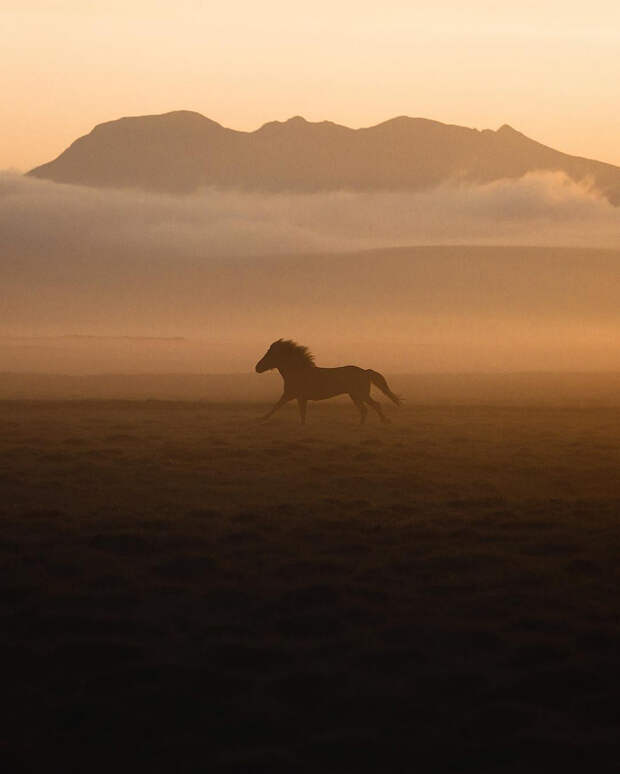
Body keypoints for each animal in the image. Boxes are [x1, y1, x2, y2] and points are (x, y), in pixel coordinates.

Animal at [253, 338, 402, 424]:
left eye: (270, 354)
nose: (257, 368)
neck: (298, 372)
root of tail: (365, 371)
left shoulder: (291, 395)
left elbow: (277, 406)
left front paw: (261, 418)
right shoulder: (300, 397)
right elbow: (301, 413)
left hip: (361, 394)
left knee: (375, 405)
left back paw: (384, 421)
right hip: (354, 395)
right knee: (364, 409)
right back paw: (361, 426)